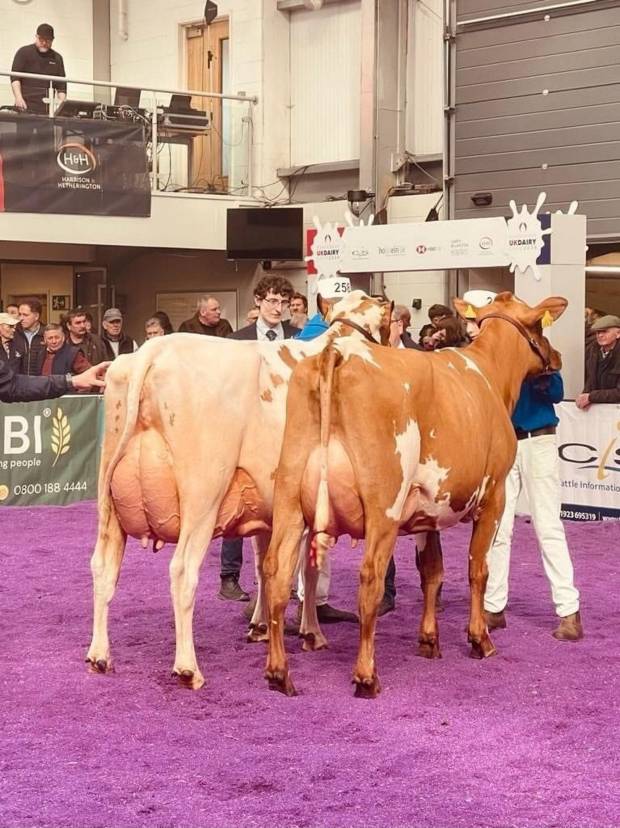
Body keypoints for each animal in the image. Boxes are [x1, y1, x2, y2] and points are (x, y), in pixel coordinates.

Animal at [85, 288, 390, 688]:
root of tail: (154, 350)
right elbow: (306, 572)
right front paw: (312, 633)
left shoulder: (267, 506)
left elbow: (264, 567)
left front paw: (260, 626)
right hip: (203, 494)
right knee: (182, 570)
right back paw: (188, 667)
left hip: (109, 502)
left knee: (102, 568)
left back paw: (99, 656)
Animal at [262, 292, 568, 700]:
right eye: (539, 327)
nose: (557, 358)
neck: (490, 374)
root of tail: (336, 354)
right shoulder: (494, 496)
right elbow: (477, 569)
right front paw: (479, 639)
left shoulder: (428, 509)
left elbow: (432, 573)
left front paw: (428, 641)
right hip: (383, 509)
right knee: (370, 579)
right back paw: (366, 676)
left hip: (289, 502)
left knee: (276, 574)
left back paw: (279, 673)